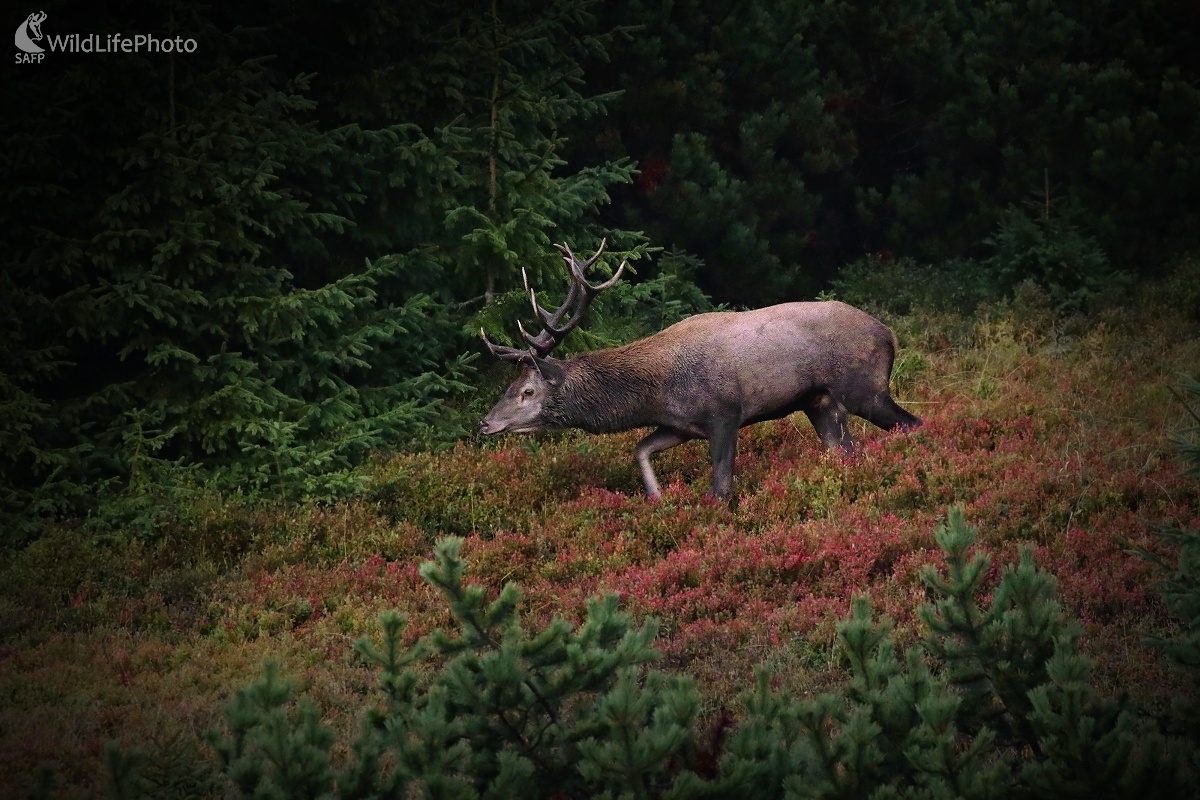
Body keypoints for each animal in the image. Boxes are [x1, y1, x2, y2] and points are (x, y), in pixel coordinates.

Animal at [477, 239, 916, 501]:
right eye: (511, 385)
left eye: (528, 391)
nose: (485, 423)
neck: (655, 394)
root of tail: (889, 334)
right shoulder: (679, 425)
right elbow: (640, 448)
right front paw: (657, 499)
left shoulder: (724, 414)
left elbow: (720, 486)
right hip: (819, 403)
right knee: (847, 451)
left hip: (865, 388)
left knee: (910, 423)